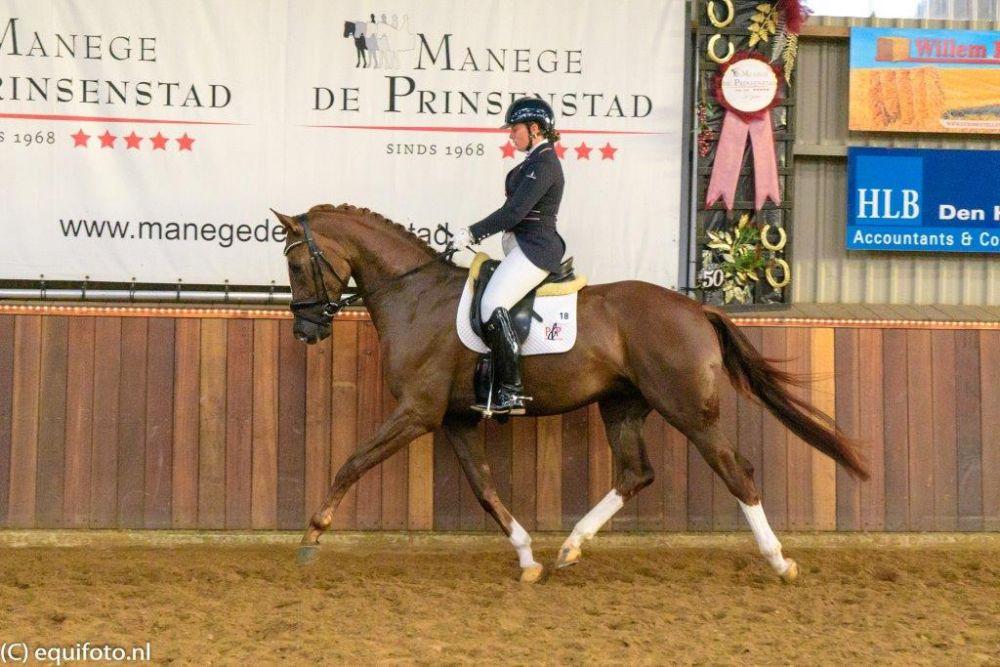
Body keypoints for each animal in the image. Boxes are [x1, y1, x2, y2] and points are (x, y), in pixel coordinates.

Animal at [274, 205, 868, 584]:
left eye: (298, 264)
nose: (305, 331)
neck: (414, 295)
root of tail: (698, 307)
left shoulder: (417, 413)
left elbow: (351, 464)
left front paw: (310, 538)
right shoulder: (455, 419)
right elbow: (485, 490)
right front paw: (526, 558)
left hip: (688, 410)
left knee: (735, 470)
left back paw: (779, 562)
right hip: (622, 406)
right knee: (636, 473)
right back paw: (569, 547)